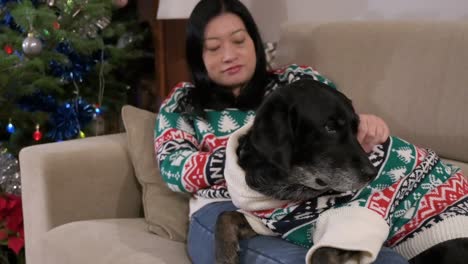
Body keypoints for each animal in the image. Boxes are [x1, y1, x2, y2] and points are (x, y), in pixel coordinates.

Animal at [217, 79, 468, 262]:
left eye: (357, 128)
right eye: (330, 127)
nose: (372, 174)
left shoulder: (351, 223)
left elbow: (320, 254)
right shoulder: (273, 223)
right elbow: (225, 215)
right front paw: (224, 255)